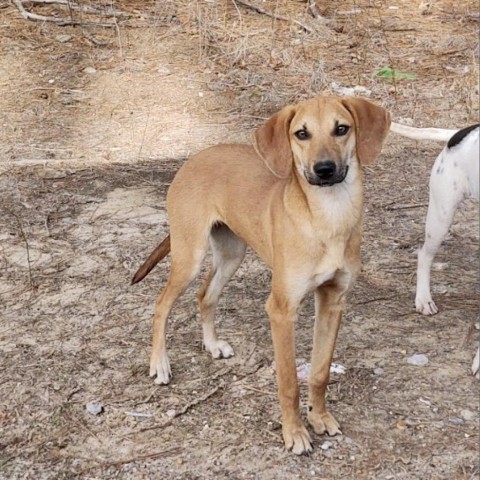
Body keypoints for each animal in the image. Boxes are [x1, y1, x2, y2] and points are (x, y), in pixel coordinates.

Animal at [132, 96, 390, 454]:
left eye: (341, 128)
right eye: (301, 133)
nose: (324, 170)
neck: (328, 217)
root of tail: (195, 157)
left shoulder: (333, 301)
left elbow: (320, 372)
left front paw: (319, 417)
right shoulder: (281, 310)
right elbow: (289, 381)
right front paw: (294, 432)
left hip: (231, 254)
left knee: (205, 295)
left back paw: (212, 344)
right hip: (189, 256)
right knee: (161, 304)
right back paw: (159, 364)